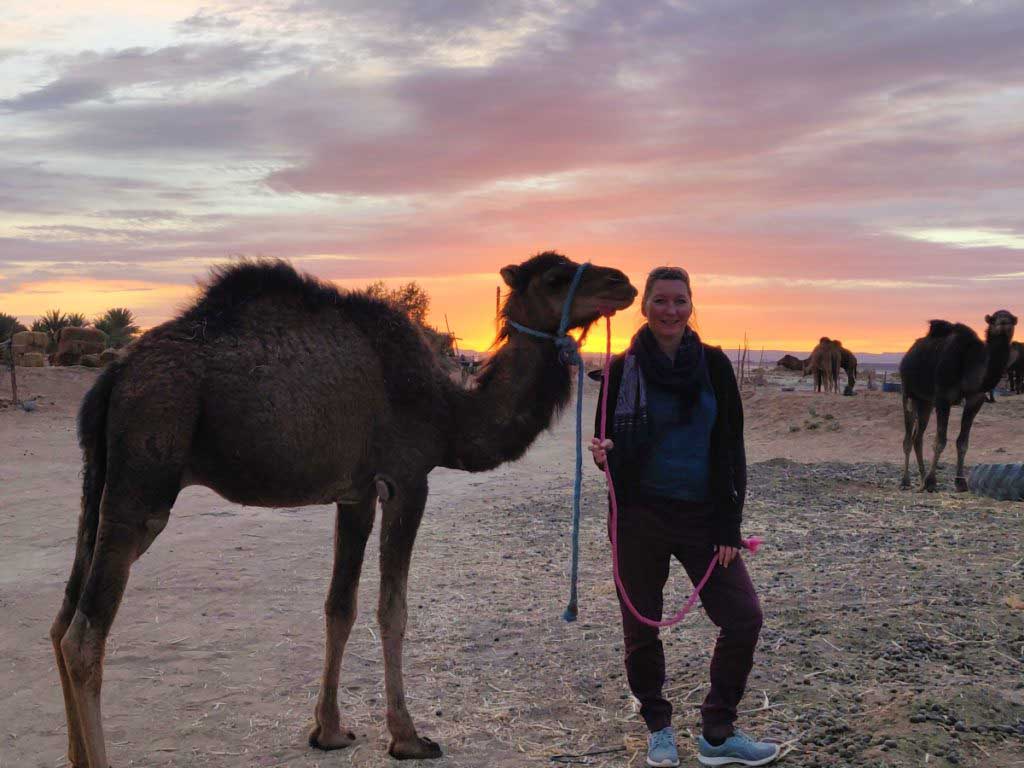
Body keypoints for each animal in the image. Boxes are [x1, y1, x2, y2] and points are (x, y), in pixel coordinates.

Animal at [54, 253, 638, 768]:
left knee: (61, 623)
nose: (624, 282)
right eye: (557, 277)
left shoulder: (355, 493)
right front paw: (408, 737)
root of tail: (113, 377)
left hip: (97, 482)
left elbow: (340, 606)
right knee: (85, 635)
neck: (448, 412)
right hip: (145, 473)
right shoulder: (406, 479)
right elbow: (392, 610)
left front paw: (329, 731)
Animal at [905, 311, 1015, 493]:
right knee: (908, 436)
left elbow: (962, 442)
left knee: (917, 437)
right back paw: (906, 480)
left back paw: (921, 479)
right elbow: (940, 441)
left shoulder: (975, 400)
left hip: (926, 402)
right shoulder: (942, 398)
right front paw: (932, 482)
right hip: (908, 392)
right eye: (993, 319)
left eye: (1012, 319)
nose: (1004, 322)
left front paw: (961, 483)